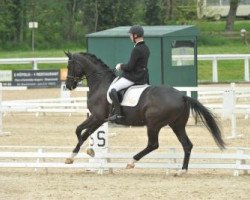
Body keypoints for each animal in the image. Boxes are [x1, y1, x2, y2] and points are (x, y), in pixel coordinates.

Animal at [64, 51, 225, 173]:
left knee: (153, 145)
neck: (100, 83)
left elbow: (82, 132)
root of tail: (182, 96)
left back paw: (131, 162)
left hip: (153, 124)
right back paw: (182, 170)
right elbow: (82, 131)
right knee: (187, 145)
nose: (68, 85)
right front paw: (81, 153)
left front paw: (78, 154)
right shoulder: (99, 118)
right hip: (177, 125)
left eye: (69, 66)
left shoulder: (98, 117)